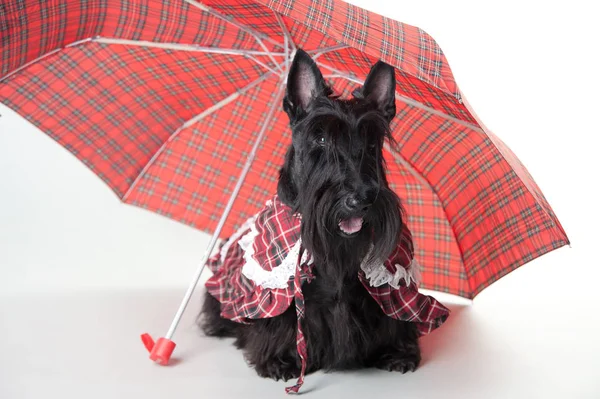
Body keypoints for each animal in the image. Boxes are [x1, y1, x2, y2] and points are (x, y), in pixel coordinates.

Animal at [199, 50, 420, 384]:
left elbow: (394, 313)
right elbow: (279, 320)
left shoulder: (387, 290)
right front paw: (280, 360)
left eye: (372, 142)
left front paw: (398, 352)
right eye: (321, 139)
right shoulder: (276, 291)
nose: (361, 199)